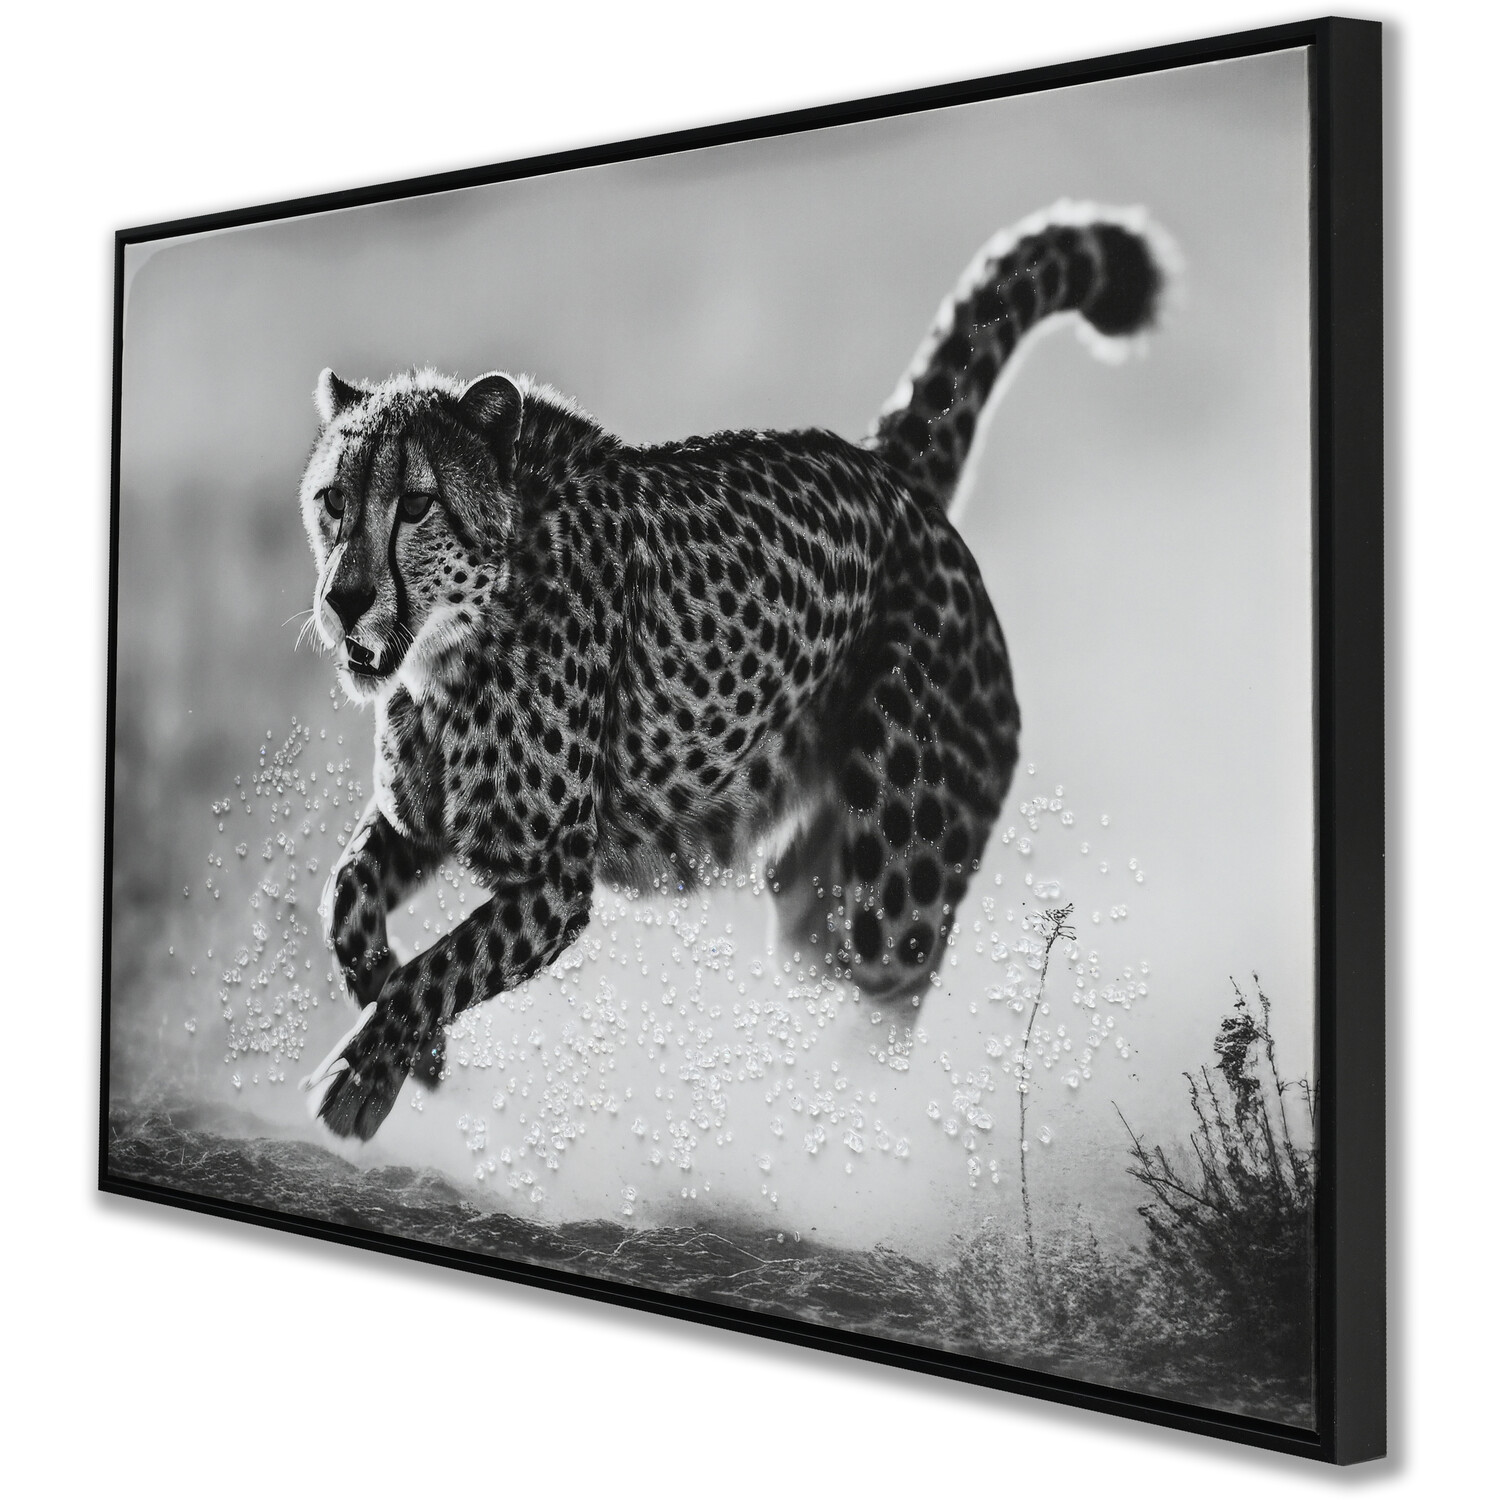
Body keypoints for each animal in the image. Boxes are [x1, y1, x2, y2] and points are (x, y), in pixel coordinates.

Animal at [299, 201, 1173, 1141]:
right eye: (332, 501)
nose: (345, 599)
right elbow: (344, 896)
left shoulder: (554, 879)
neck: (450, 649)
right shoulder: (421, 821)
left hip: (893, 893)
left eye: (417, 504)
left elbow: (438, 968)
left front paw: (366, 1069)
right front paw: (411, 1049)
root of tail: (882, 468)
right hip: (811, 897)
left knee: (888, 1002)